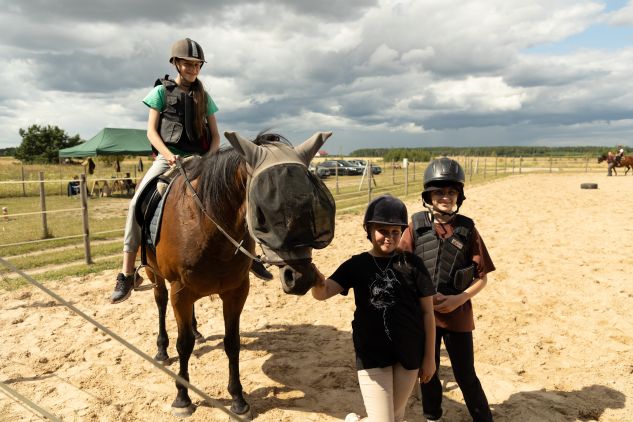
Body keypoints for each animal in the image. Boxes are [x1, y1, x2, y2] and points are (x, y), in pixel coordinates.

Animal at [145, 131, 334, 416]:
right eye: (263, 215)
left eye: (311, 206)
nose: (301, 278)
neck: (206, 227)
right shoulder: (180, 291)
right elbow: (184, 344)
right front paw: (182, 397)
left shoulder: (236, 291)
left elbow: (232, 342)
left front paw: (238, 398)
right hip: (153, 274)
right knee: (160, 302)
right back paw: (161, 349)